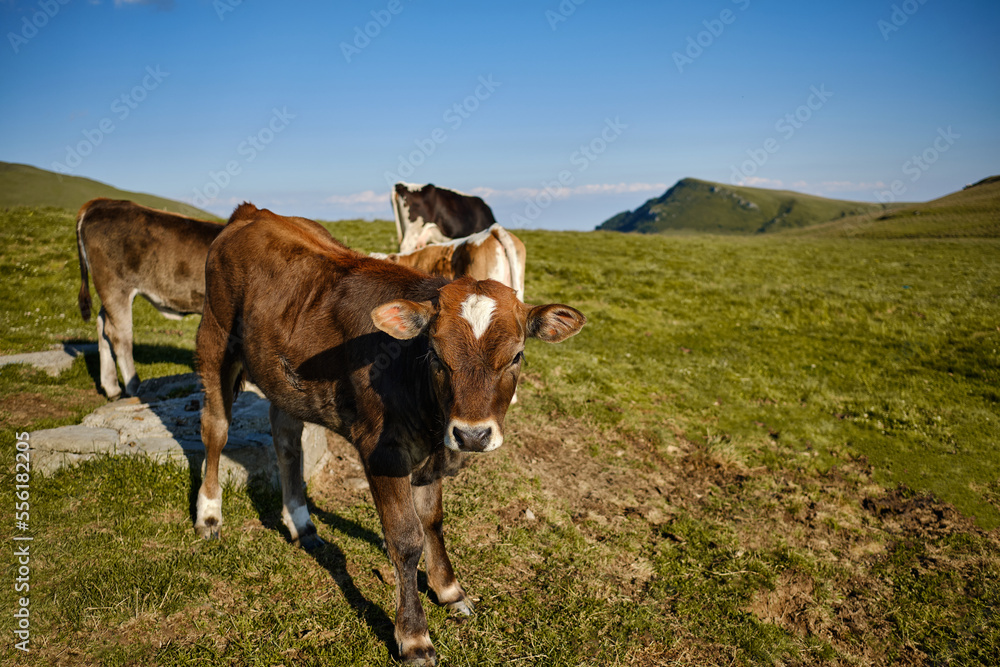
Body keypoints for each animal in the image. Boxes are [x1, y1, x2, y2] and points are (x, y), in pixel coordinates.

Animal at [75, 198, 223, 396]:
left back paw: (112, 387)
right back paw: (134, 386)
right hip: (115, 286)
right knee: (119, 335)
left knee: (102, 326)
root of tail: (102, 202)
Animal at [193, 202, 584, 664]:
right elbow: (405, 538)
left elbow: (433, 521)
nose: (472, 435)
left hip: (282, 374)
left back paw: (302, 522)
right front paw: (413, 636)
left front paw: (449, 590)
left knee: (287, 439)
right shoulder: (382, 452)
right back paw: (209, 514)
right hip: (215, 338)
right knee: (216, 429)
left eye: (517, 356)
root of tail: (254, 212)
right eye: (435, 353)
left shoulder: (434, 452)